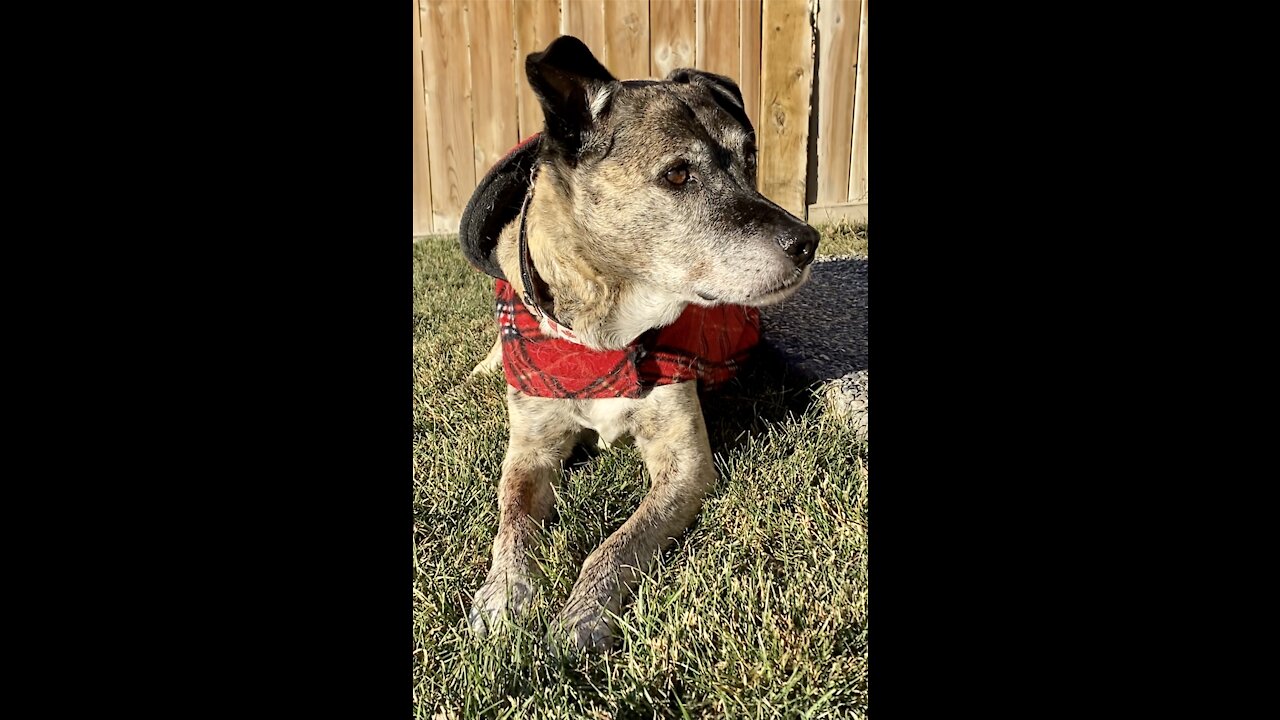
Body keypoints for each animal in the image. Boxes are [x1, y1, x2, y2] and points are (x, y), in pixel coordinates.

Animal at [463, 33, 819, 650]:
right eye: (677, 176)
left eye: (749, 159)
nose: (808, 241)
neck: (606, 330)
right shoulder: (531, 449)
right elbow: (511, 520)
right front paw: (504, 593)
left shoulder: (685, 461)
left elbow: (617, 543)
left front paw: (580, 618)